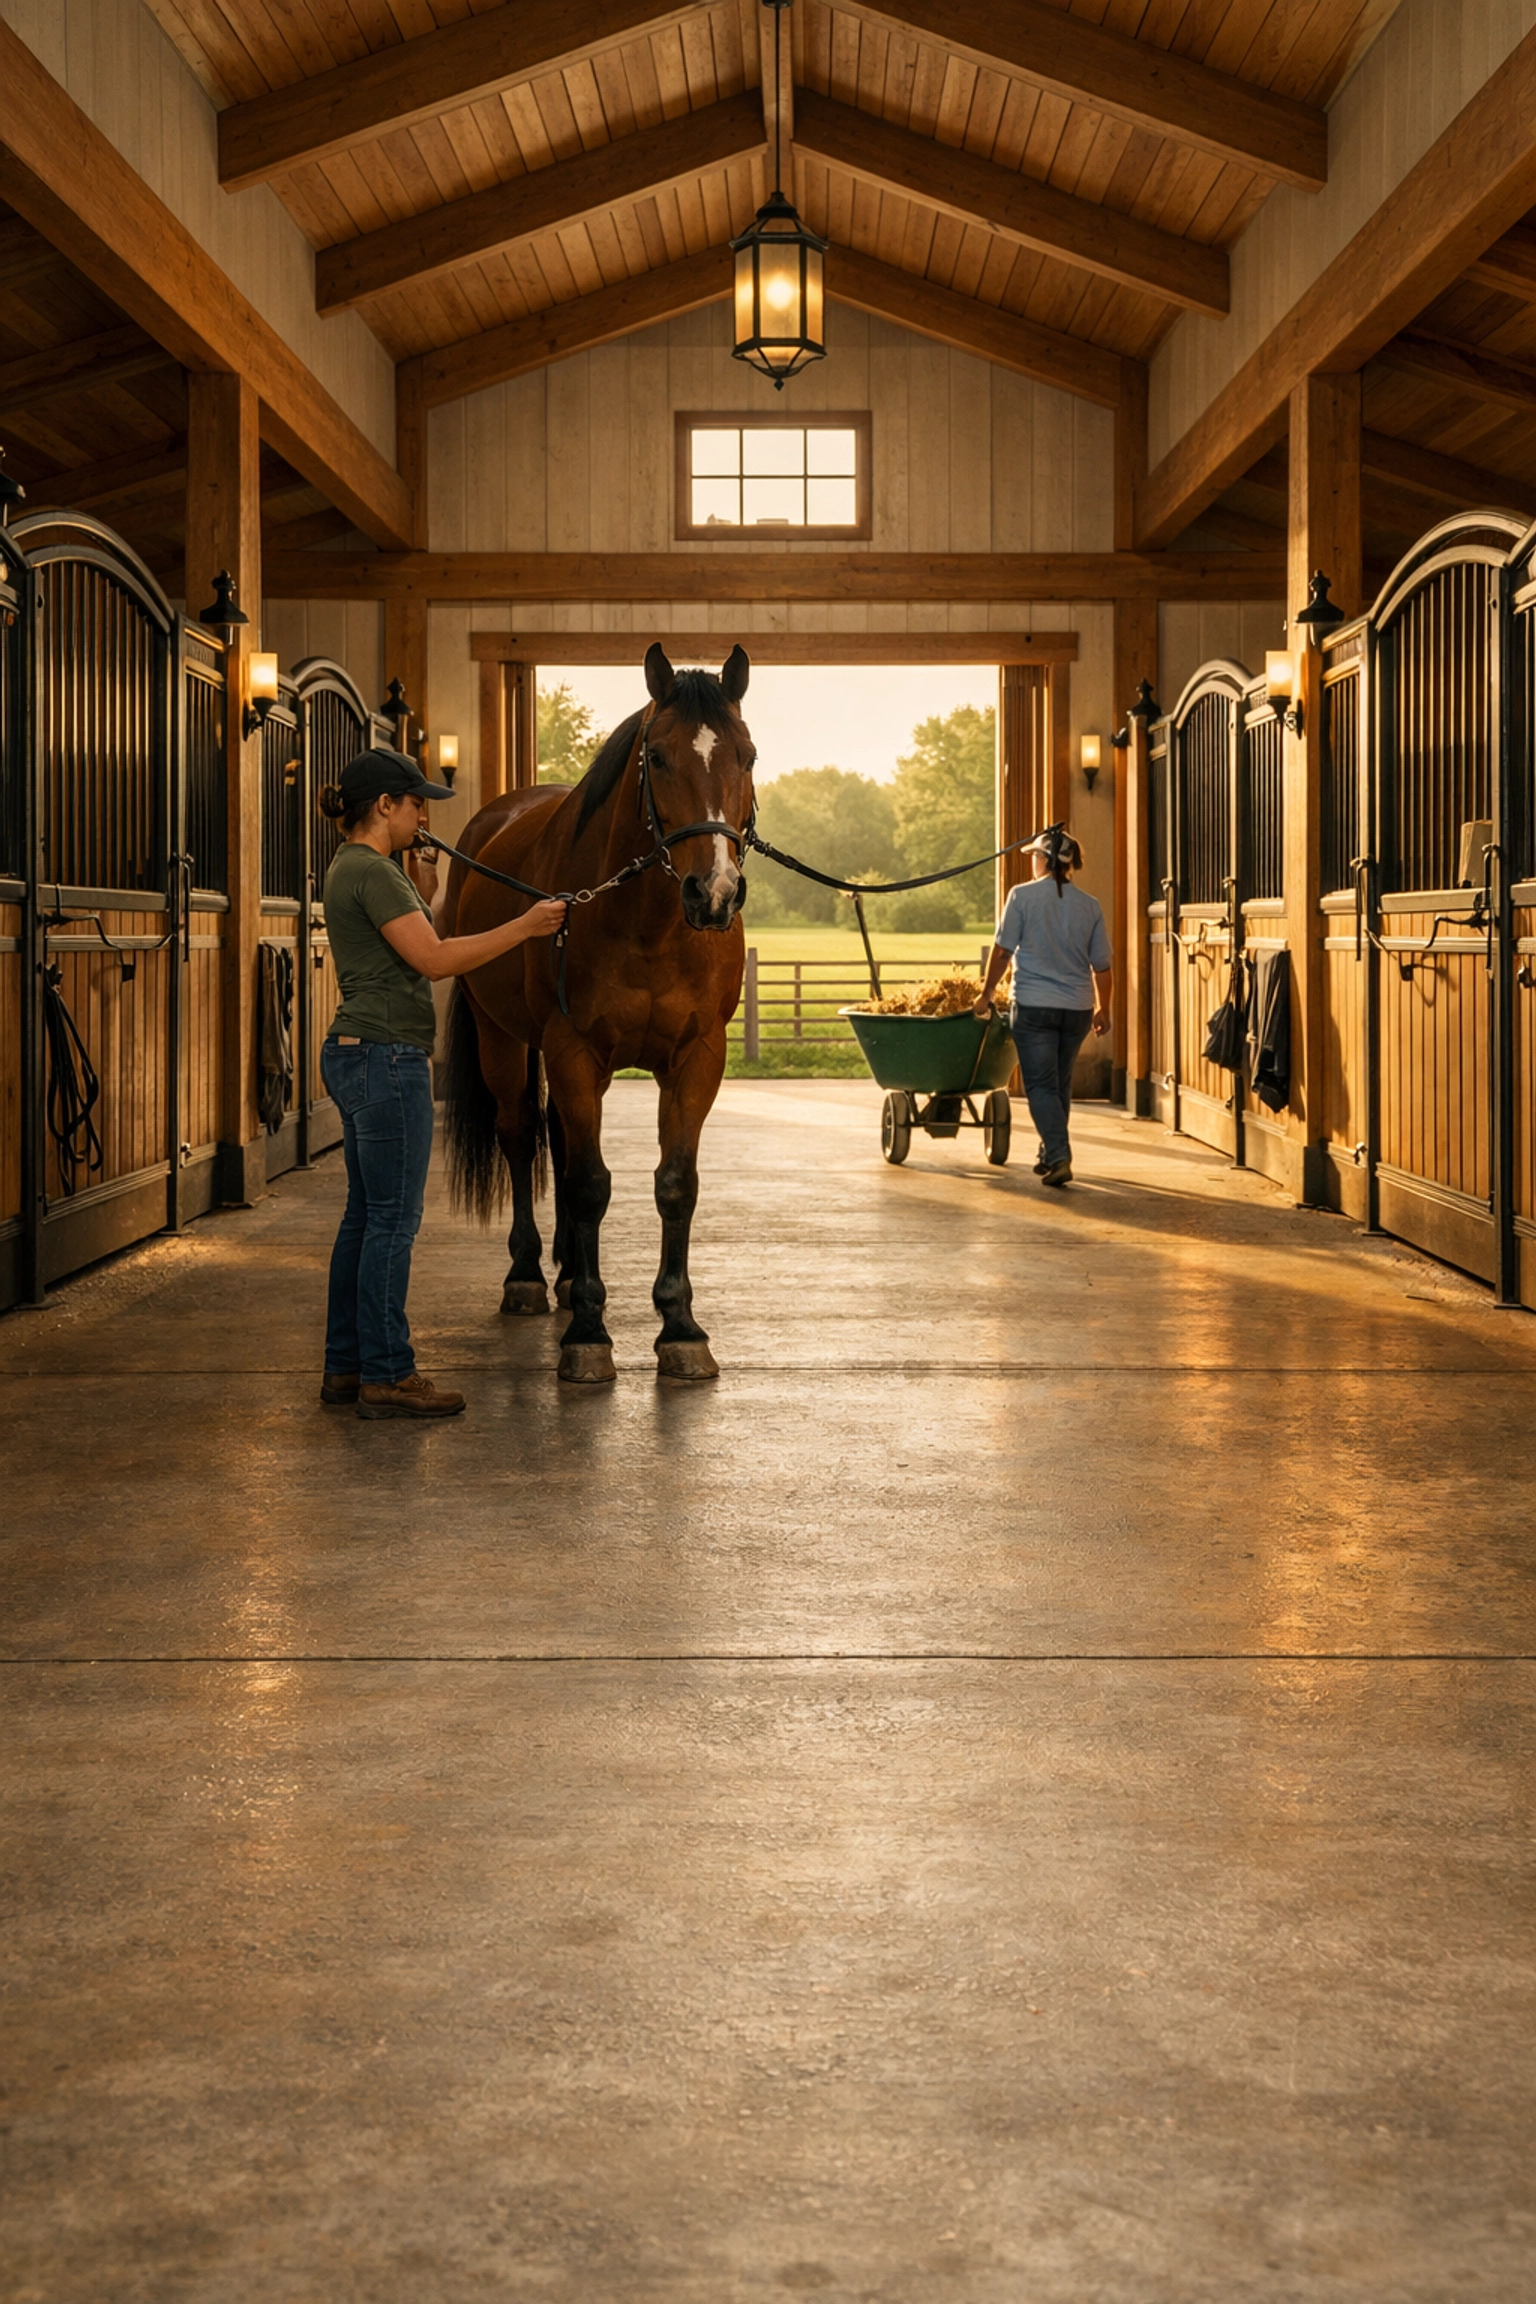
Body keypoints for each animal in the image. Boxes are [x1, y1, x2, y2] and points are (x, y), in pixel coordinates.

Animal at [439, 642, 756, 1385]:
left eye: (748, 755)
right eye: (658, 757)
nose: (715, 893)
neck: (647, 925)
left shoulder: (697, 1058)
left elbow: (675, 1184)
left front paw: (680, 1328)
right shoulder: (573, 1050)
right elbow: (587, 1184)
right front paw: (588, 1333)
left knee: (555, 1137)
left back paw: (560, 1274)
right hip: (504, 1042)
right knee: (522, 1136)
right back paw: (529, 1276)